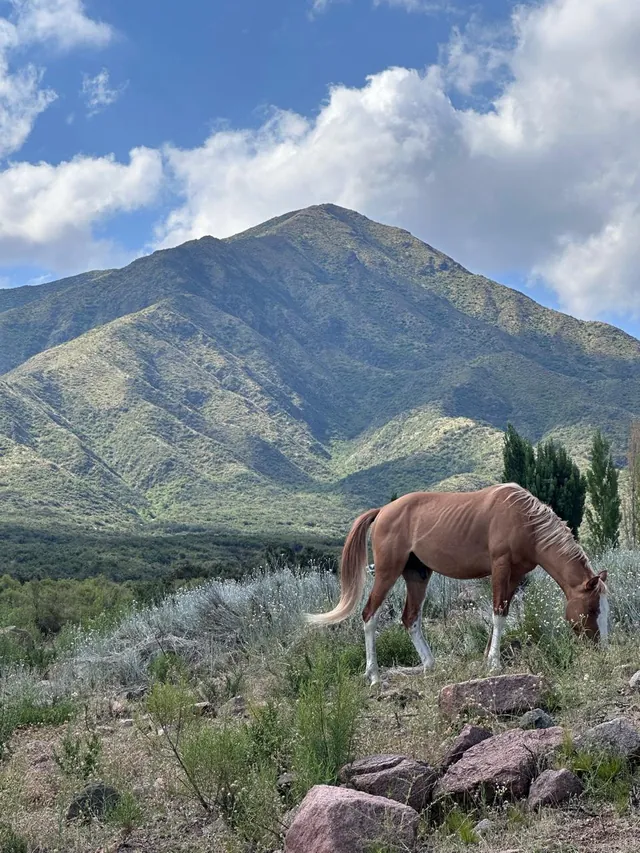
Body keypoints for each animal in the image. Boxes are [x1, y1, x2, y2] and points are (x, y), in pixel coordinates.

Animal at [306, 483, 609, 685]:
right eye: (592, 610)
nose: (602, 648)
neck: (525, 521)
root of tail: (382, 512)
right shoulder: (500, 568)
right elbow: (499, 613)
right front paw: (495, 664)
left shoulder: (514, 575)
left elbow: (501, 613)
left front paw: (488, 658)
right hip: (386, 572)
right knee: (369, 615)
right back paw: (374, 675)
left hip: (417, 575)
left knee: (410, 618)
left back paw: (429, 665)